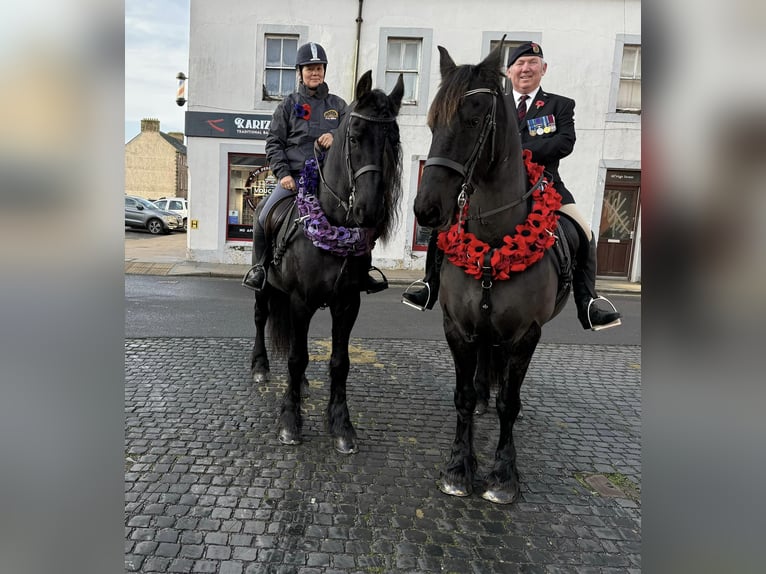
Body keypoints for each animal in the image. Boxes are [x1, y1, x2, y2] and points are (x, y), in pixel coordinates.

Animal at [252, 72, 408, 456]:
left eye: (394, 138)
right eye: (354, 137)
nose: (370, 210)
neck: (334, 223)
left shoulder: (347, 304)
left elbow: (339, 362)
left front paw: (341, 426)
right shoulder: (300, 302)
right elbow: (296, 357)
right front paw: (290, 421)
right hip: (264, 286)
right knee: (261, 317)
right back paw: (260, 366)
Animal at [414, 40, 576, 504]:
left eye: (472, 121)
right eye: (432, 123)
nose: (426, 211)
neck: (492, 242)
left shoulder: (526, 334)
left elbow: (510, 402)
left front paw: (503, 475)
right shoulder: (457, 327)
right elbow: (464, 396)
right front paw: (458, 467)